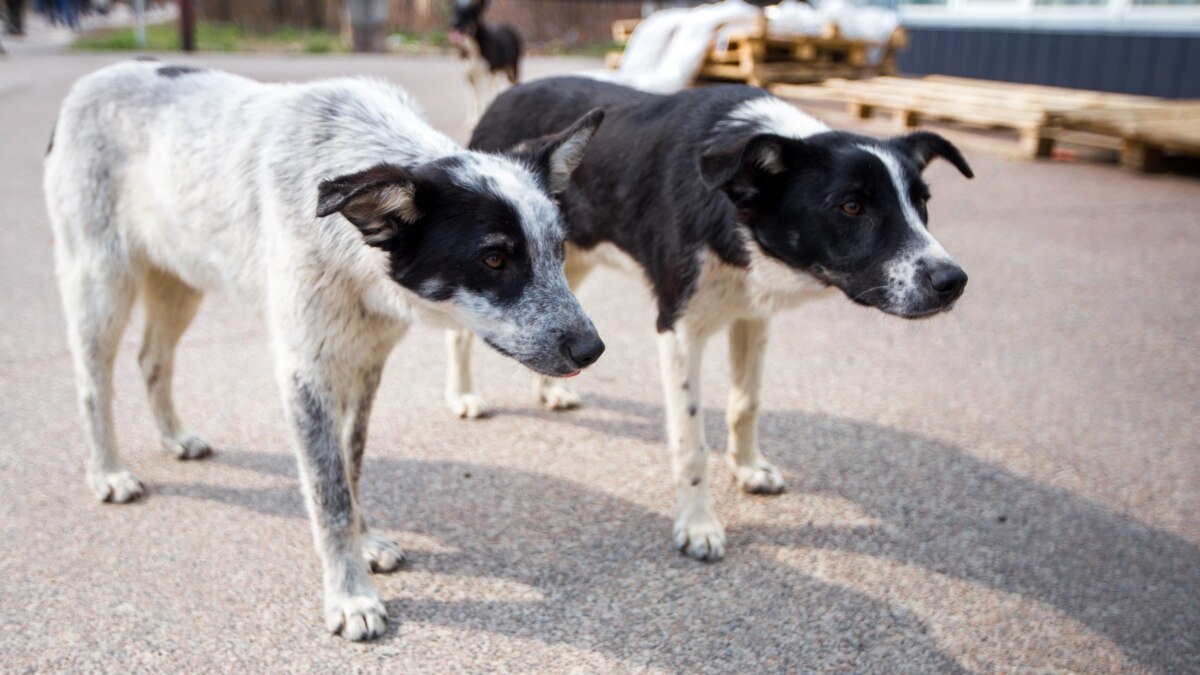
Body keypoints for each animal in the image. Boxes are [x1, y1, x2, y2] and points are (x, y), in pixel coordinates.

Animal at [42, 60, 604, 638]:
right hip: (101, 285)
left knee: (153, 358)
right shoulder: (306, 373)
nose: (592, 349)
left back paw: (174, 437)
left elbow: (350, 468)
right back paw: (107, 473)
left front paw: (365, 541)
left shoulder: (365, 363)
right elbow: (328, 493)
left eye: (559, 250)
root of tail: (89, 83)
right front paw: (350, 595)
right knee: (93, 384)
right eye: (494, 259)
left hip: (179, 282)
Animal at [451, 77, 974, 562]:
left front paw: (748, 469)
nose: (953, 281)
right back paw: (463, 397)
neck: (733, 205)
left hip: (563, 258)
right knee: (459, 334)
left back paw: (552, 389)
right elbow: (691, 440)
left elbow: (746, 403)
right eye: (852, 206)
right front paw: (699, 525)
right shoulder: (679, 329)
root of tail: (507, 92)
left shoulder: (753, 315)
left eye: (922, 202)